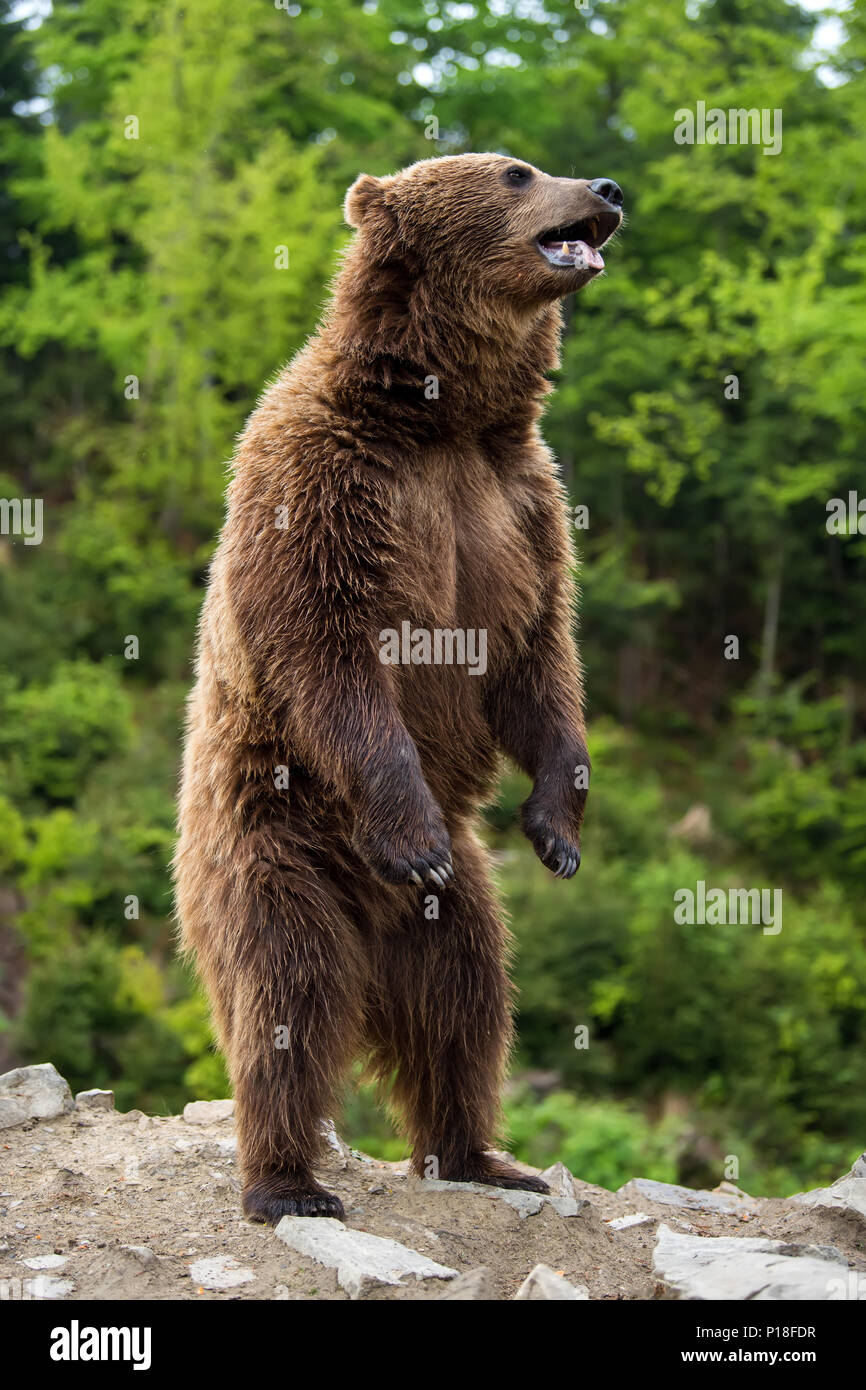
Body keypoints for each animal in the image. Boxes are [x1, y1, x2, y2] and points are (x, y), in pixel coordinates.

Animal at [173, 153, 623, 1224]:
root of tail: (373, 937)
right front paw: (413, 835)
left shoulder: (519, 504)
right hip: (274, 847)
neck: (437, 416)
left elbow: (537, 659)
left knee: (467, 1002)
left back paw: (478, 1153)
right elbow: (330, 658)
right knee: (289, 994)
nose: (607, 187)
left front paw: (557, 826)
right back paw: (288, 1182)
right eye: (515, 173)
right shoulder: (321, 486)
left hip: (451, 913)